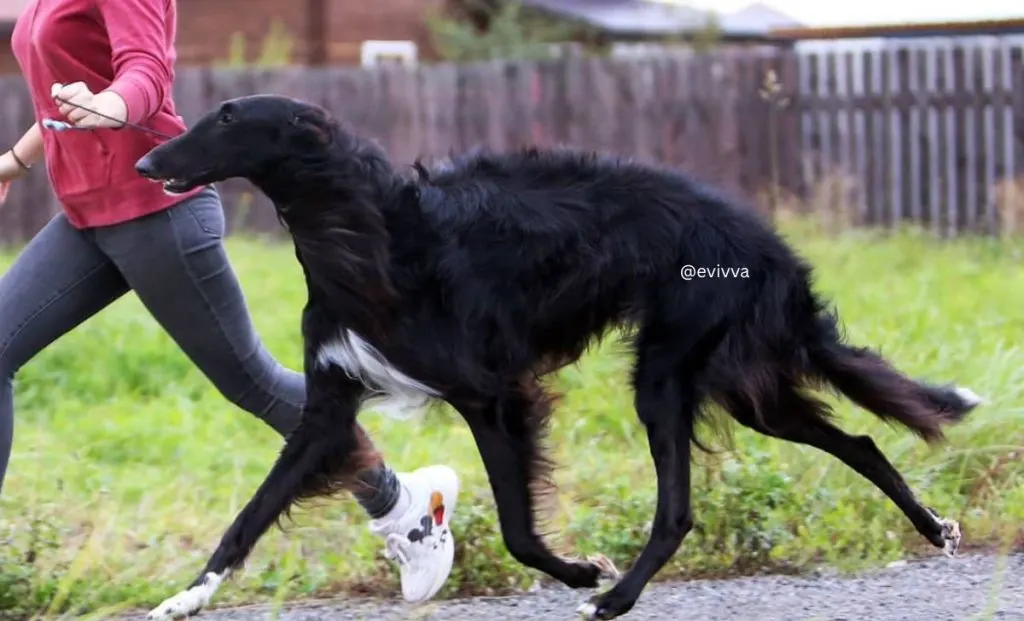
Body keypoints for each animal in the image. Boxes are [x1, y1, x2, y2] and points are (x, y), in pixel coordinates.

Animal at [136, 94, 983, 618]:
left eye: (228, 117)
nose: (144, 164)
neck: (364, 232)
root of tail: (770, 245)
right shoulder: (328, 407)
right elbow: (248, 516)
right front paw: (186, 596)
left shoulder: (489, 393)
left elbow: (517, 526)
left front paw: (583, 571)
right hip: (741, 386)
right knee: (860, 438)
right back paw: (935, 527)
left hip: (666, 373)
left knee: (679, 506)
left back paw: (614, 598)